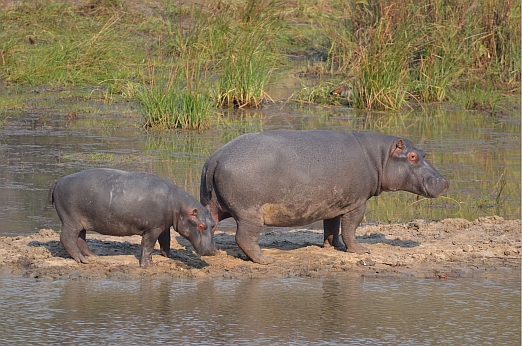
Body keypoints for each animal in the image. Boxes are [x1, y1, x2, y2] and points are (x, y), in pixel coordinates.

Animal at [48, 169, 215, 266]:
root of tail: (57, 182)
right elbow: (148, 245)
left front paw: (170, 255)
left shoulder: (164, 226)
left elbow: (165, 241)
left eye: (213, 224)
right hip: (71, 220)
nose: (213, 251)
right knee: (67, 238)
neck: (179, 206)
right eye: (201, 225)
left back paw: (93, 256)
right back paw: (83, 260)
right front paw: (149, 265)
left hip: (82, 221)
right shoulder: (153, 228)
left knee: (81, 238)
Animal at [199, 130, 446, 264]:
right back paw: (266, 260)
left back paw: (212, 251)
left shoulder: (334, 204)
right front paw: (360, 251)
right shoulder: (357, 203)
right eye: (412, 156)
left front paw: (331, 246)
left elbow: (332, 227)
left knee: (211, 225)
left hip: (211, 205)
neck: (380, 157)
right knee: (245, 238)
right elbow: (350, 228)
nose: (444, 181)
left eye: (423, 153)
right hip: (250, 215)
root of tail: (216, 157)